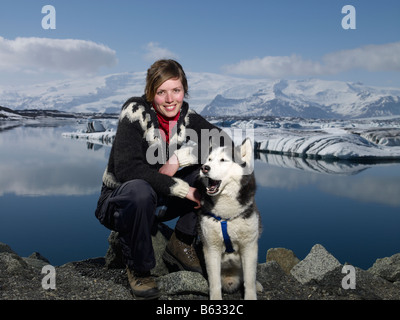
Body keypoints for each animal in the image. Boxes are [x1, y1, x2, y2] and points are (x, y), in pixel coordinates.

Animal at [198, 138, 262, 300]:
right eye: (209, 159)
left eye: (223, 160)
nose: (204, 168)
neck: (226, 216)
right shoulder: (211, 248)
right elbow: (214, 282)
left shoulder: (249, 247)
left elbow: (249, 280)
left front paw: (251, 295)